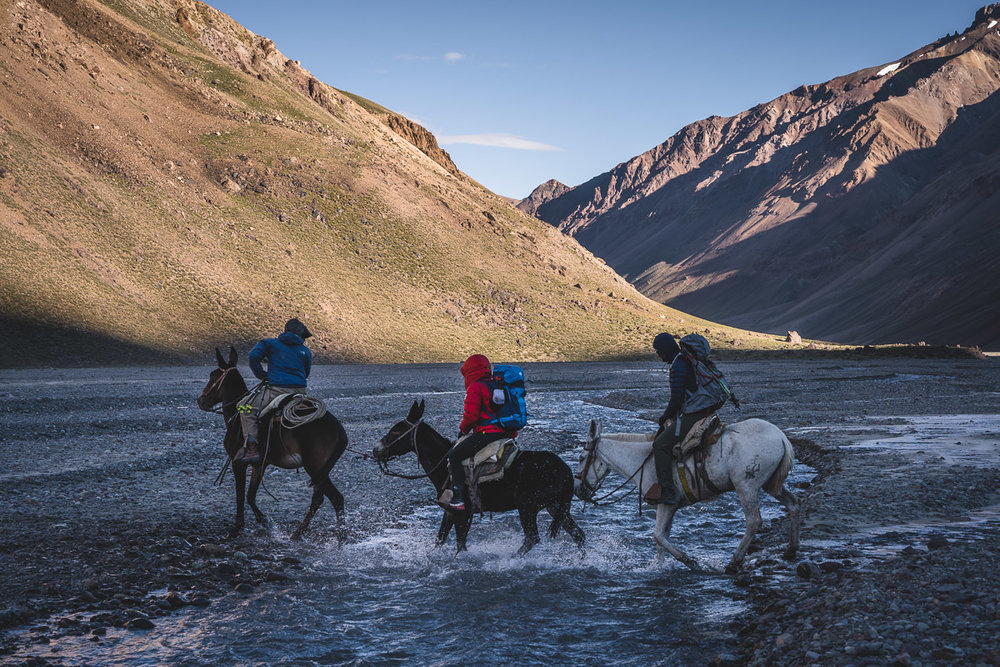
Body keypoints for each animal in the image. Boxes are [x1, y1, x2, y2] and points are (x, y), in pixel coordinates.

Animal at [197, 348, 350, 544]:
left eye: (214, 376)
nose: (201, 400)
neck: (236, 416)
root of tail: (339, 430)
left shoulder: (238, 463)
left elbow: (240, 496)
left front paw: (236, 529)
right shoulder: (259, 464)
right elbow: (250, 496)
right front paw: (265, 522)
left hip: (314, 468)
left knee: (333, 499)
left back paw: (338, 538)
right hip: (321, 472)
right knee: (322, 499)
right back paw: (301, 533)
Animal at [372, 400, 584, 556]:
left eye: (396, 431)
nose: (375, 450)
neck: (445, 466)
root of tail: (566, 471)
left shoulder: (462, 513)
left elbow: (459, 544)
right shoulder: (450, 512)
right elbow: (441, 540)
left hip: (528, 507)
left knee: (532, 538)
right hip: (556, 507)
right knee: (578, 534)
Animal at [576, 420, 800, 572]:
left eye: (580, 457)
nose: (578, 490)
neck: (642, 461)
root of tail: (781, 437)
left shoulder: (665, 503)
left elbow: (658, 536)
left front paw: (691, 562)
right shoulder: (671, 507)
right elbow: (661, 540)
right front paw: (658, 567)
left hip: (747, 486)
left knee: (754, 521)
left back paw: (733, 562)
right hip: (772, 485)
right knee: (793, 504)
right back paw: (791, 549)